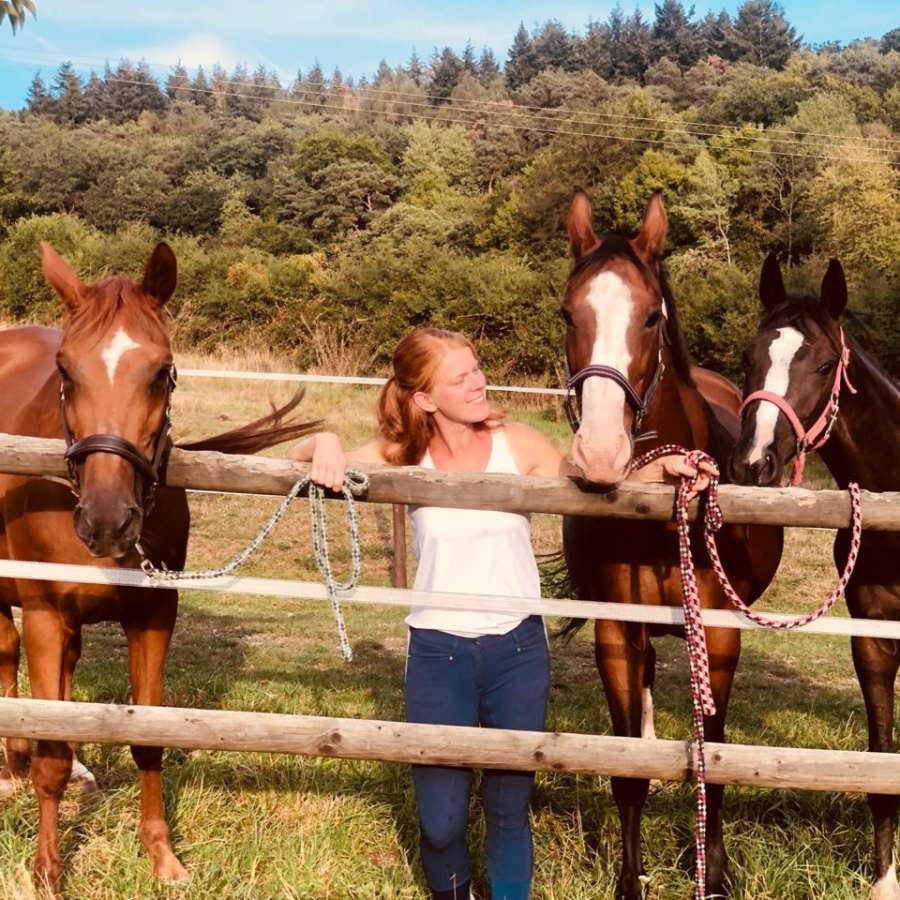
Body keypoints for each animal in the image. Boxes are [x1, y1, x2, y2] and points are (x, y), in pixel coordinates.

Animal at [0, 241, 318, 896]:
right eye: (65, 370)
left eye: (162, 371)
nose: (106, 520)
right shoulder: (43, 612)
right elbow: (48, 750)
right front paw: (47, 871)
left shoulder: (152, 615)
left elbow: (150, 737)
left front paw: (162, 858)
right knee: (6, 654)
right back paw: (11, 767)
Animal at [559, 190, 784, 899]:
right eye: (568, 313)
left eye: (652, 315)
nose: (601, 453)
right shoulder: (617, 631)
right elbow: (626, 764)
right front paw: (630, 882)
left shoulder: (719, 634)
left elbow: (715, 746)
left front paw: (715, 870)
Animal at [728, 255, 900, 900]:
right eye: (749, 357)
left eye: (825, 365)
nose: (753, 463)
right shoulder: (873, 637)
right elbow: (881, 761)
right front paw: (886, 879)